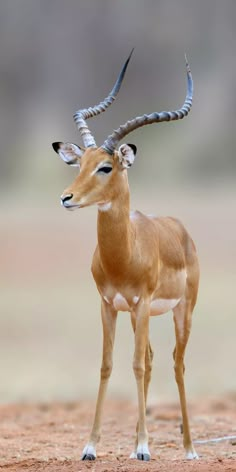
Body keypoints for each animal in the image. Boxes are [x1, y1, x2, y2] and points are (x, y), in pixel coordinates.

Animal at [52, 50, 199, 460]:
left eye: (106, 166)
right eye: (80, 164)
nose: (66, 198)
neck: (123, 254)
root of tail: (179, 228)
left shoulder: (142, 301)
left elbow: (135, 365)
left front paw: (147, 448)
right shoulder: (109, 304)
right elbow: (108, 365)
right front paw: (90, 447)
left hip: (180, 311)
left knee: (176, 363)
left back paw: (187, 448)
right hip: (138, 315)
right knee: (150, 359)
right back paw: (136, 443)